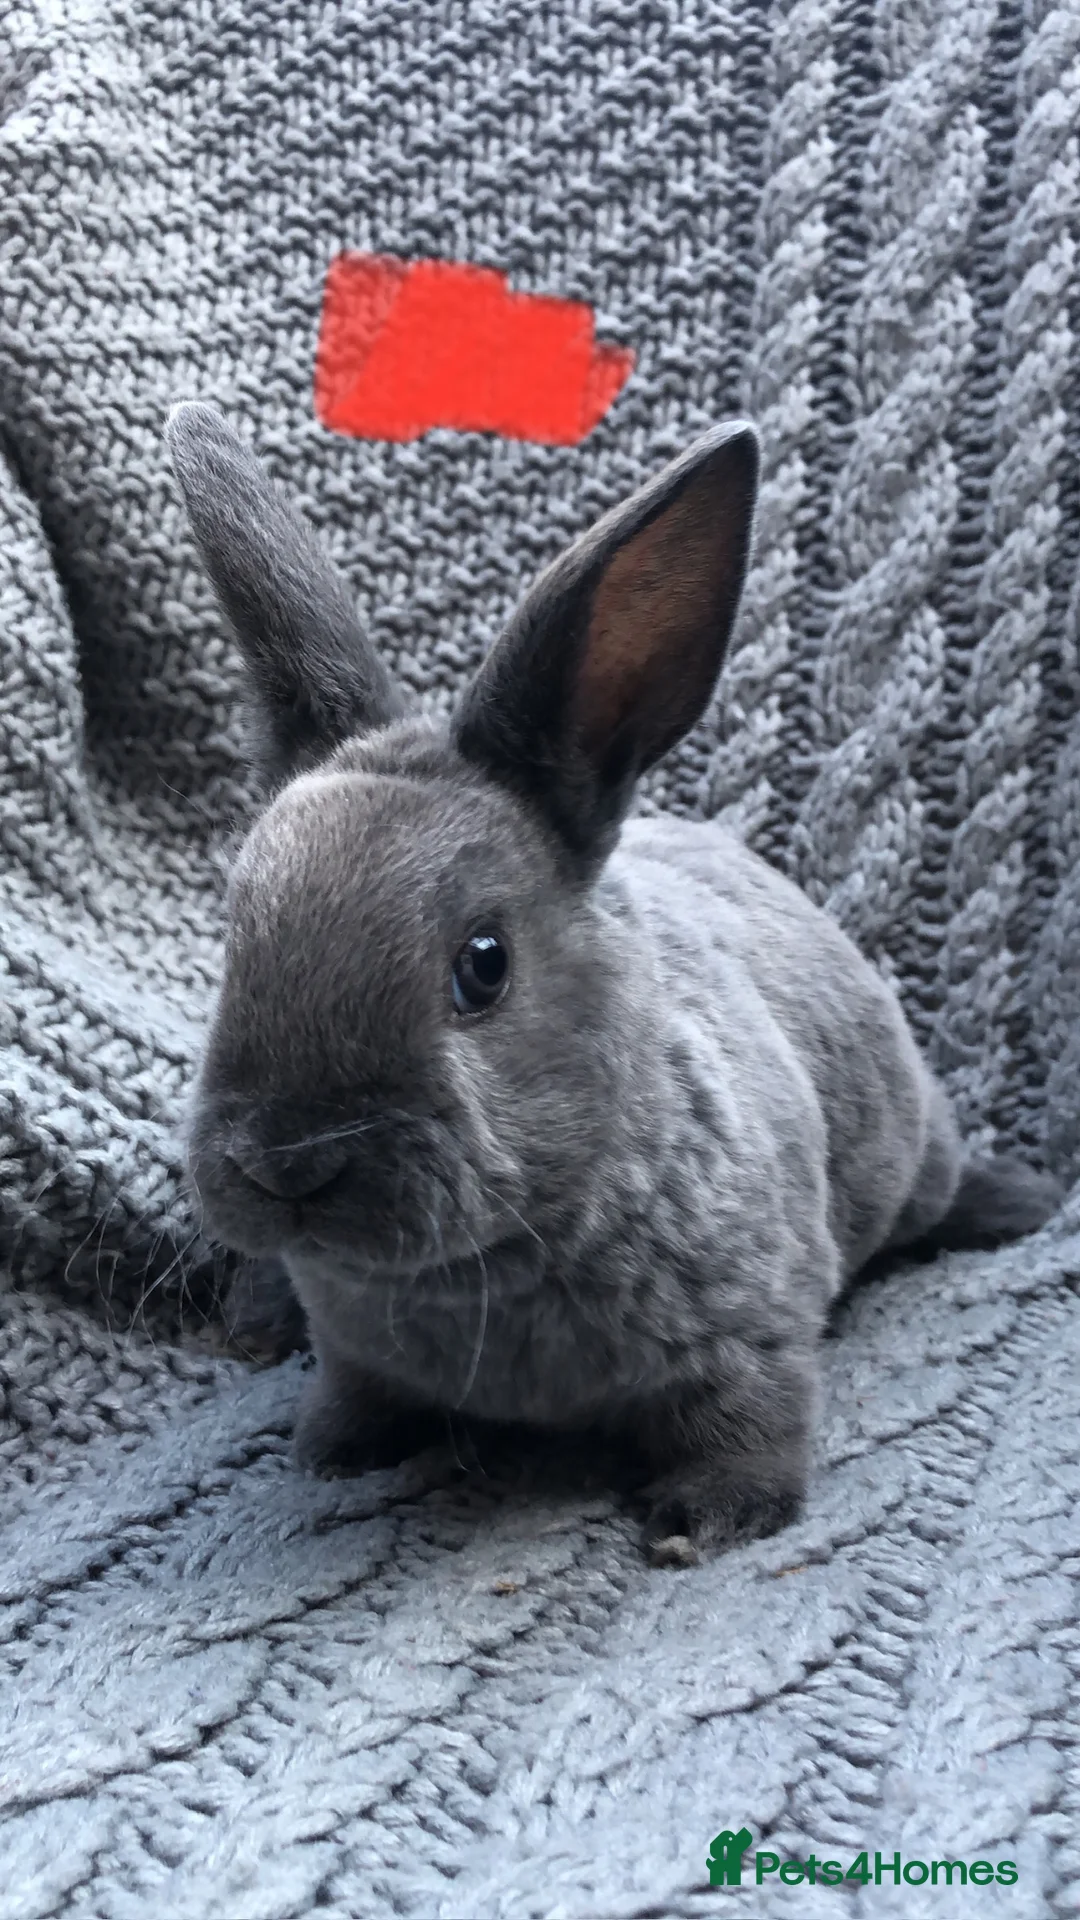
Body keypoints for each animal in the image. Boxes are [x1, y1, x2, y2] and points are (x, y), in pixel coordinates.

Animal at [167, 402, 1061, 1566]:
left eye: (484, 965)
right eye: (233, 940)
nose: (286, 1165)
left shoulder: (756, 1330)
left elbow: (749, 1418)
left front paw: (710, 1522)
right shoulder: (358, 1351)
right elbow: (356, 1392)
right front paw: (331, 1451)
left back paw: (1019, 1203)